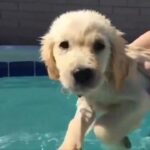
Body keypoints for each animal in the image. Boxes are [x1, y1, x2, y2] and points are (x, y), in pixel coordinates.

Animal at [39, 9, 150, 149]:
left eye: (99, 45)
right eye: (63, 45)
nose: (81, 73)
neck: (102, 86)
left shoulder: (139, 101)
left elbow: (102, 128)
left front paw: (119, 142)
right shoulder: (86, 104)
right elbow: (74, 124)